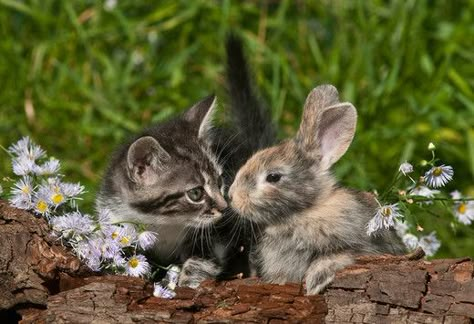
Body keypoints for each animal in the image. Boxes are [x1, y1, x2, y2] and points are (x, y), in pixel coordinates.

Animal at [96, 35, 274, 288]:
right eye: (196, 193)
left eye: (221, 180)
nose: (224, 206)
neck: (164, 225)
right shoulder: (116, 218)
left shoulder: (220, 234)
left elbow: (203, 259)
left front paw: (188, 282)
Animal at [227, 83, 404, 294]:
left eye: (273, 177)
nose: (232, 197)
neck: (305, 211)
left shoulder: (363, 247)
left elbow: (339, 256)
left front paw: (315, 282)